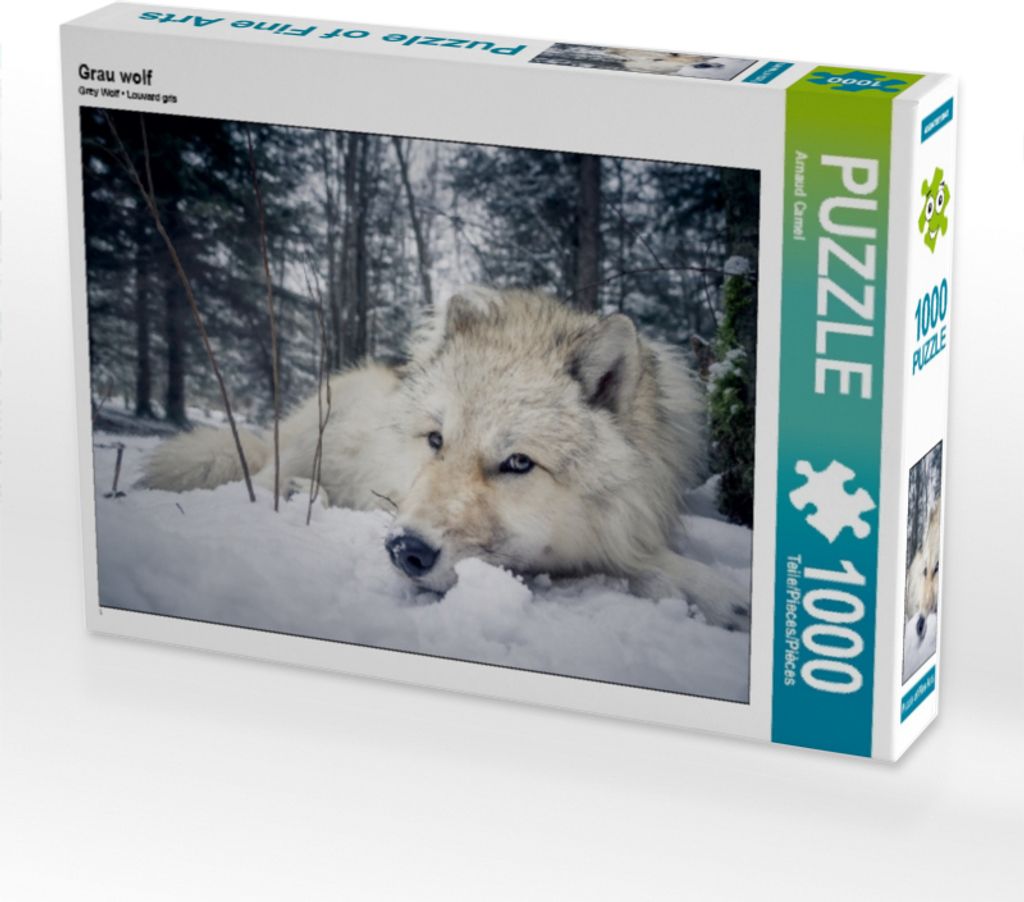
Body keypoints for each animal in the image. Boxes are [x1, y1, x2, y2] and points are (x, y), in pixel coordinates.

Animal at [140, 287, 750, 630]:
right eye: (436, 440)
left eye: (518, 463)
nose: (404, 550)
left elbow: (646, 566)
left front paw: (725, 598)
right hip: (312, 434)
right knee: (265, 474)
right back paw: (298, 494)